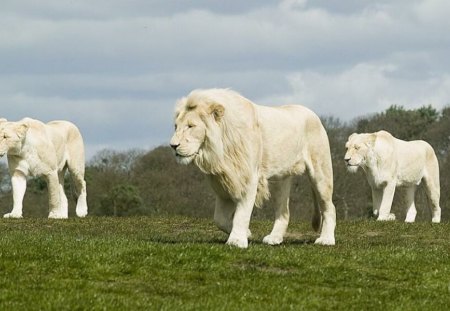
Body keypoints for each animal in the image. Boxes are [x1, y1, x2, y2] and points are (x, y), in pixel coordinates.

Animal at [171, 89, 336, 250]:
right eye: (176, 126)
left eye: (191, 126)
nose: (173, 145)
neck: (218, 151)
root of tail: (313, 114)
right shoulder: (225, 183)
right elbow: (219, 219)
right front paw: (247, 233)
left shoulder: (247, 177)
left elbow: (242, 213)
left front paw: (237, 241)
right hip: (280, 178)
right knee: (283, 212)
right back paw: (274, 238)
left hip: (320, 172)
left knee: (329, 208)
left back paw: (326, 240)